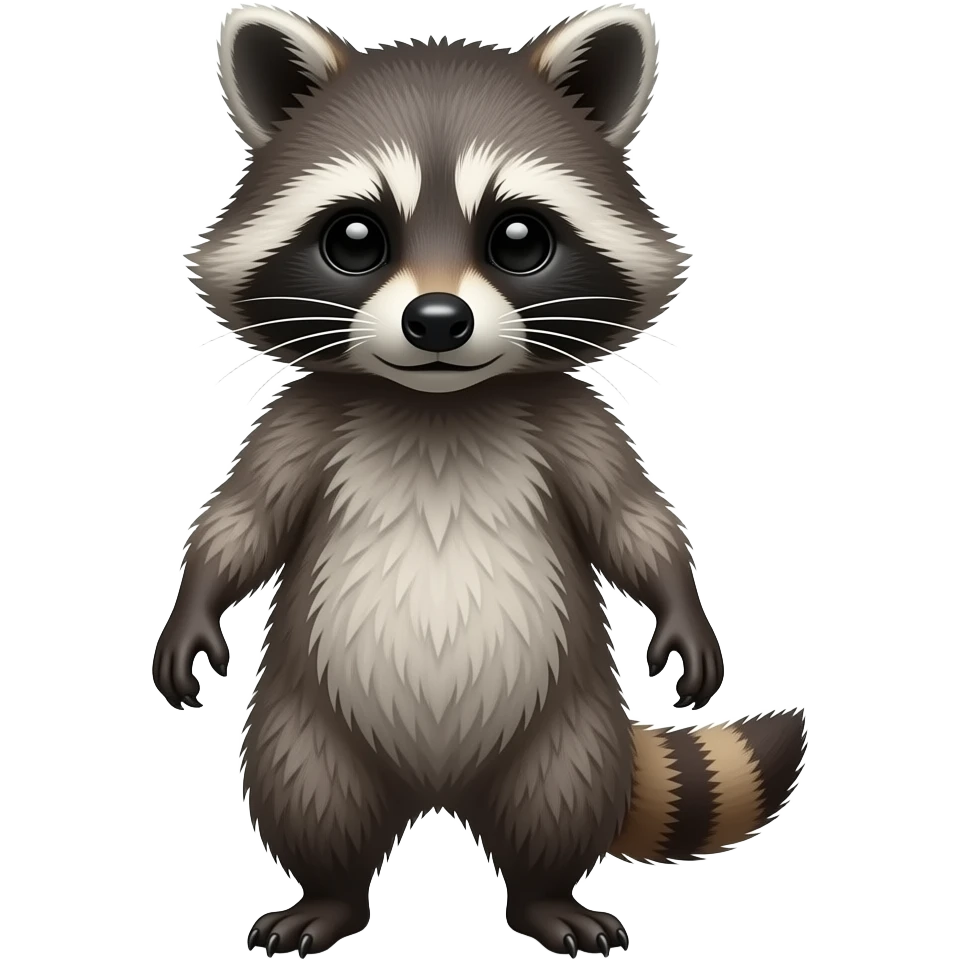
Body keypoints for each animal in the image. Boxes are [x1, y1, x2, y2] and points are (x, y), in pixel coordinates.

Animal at [154, 4, 808, 957]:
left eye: (519, 239)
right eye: (355, 239)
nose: (437, 321)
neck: (439, 404)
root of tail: (438, 790)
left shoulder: (567, 419)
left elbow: (632, 518)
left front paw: (683, 607)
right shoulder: (308, 418)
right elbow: (242, 519)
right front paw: (194, 607)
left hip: (569, 720)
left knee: (560, 796)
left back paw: (545, 897)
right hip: (307, 715)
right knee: (306, 789)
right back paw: (330, 896)